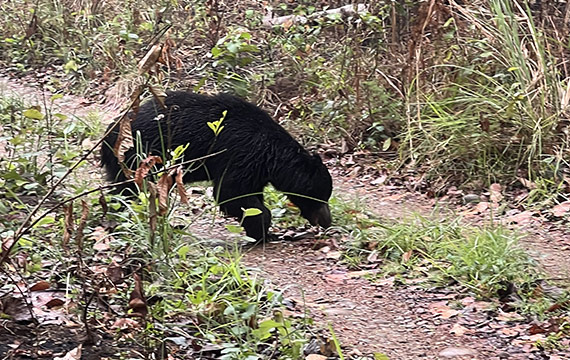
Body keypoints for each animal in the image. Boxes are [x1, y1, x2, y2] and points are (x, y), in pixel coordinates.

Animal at [101, 90, 332, 242]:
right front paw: (263, 230)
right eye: (320, 196)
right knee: (130, 191)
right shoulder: (243, 154)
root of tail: (108, 136)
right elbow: (231, 192)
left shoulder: (256, 171)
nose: (327, 221)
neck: (271, 155)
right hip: (139, 158)